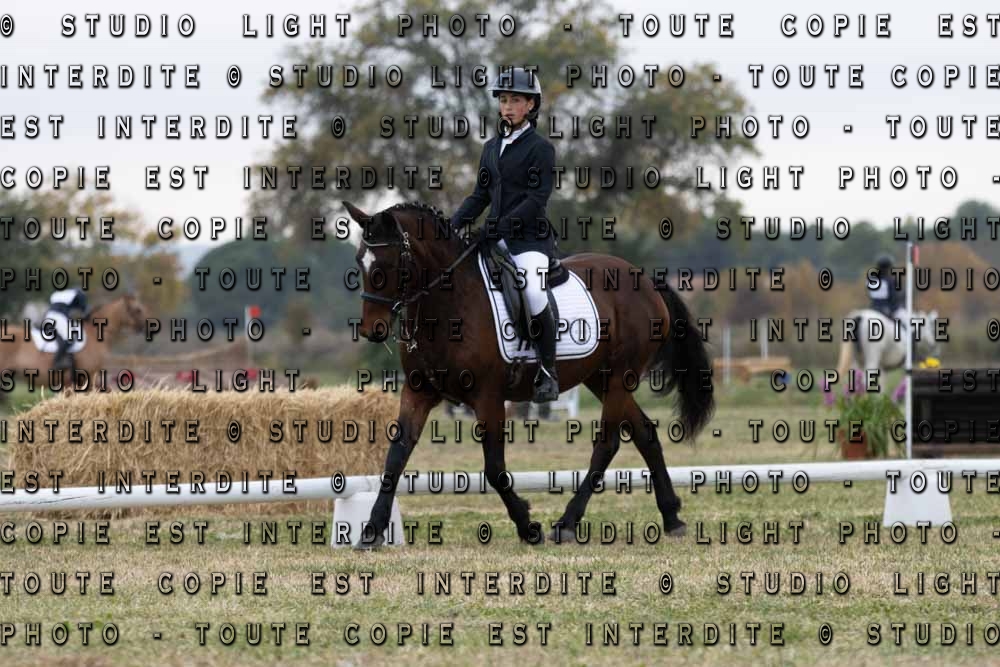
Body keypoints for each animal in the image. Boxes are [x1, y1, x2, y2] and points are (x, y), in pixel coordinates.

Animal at [342, 200, 716, 548]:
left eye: (390, 265)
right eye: (360, 262)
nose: (372, 330)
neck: (449, 304)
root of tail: (643, 278)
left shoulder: (488, 398)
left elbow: (494, 469)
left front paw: (527, 525)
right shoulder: (418, 392)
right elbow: (395, 457)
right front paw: (372, 531)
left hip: (620, 377)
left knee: (607, 443)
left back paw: (566, 523)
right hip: (600, 378)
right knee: (645, 434)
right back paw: (671, 517)